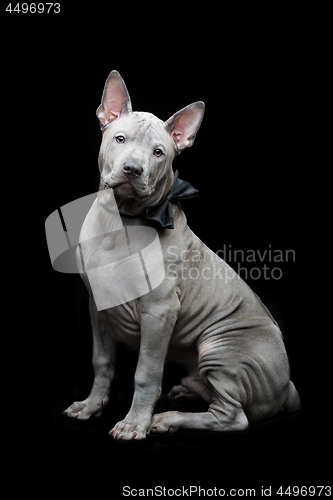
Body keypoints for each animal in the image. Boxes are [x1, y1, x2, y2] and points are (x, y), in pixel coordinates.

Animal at [64, 71, 298, 442]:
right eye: (119, 138)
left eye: (159, 152)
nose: (133, 169)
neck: (122, 221)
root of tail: (287, 388)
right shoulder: (97, 305)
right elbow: (102, 362)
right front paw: (90, 406)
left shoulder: (159, 312)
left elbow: (145, 373)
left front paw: (135, 423)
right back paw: (186, 393)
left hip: (221, 347)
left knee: (232, 416)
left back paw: (167, 419)